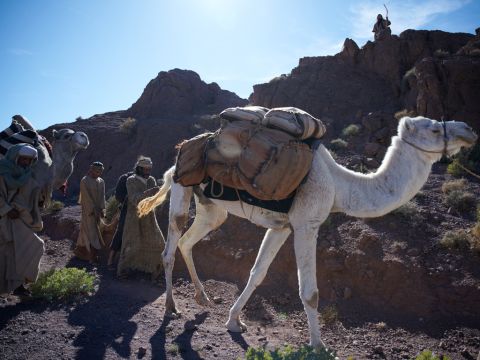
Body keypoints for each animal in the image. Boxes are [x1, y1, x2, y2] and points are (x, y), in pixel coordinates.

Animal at [138, 116, 476, 350]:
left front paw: (234, 321)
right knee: (170, 245)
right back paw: (171, 307)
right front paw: (319, 345)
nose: (468, 130)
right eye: (433, 129)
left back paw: (203, 298)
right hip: (183, 187)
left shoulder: (282, 227)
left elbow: (257, 273)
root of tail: (177, 158)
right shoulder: (306, 224)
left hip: (212, 208)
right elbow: (310, 292)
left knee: (188, 240)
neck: (339, 186)